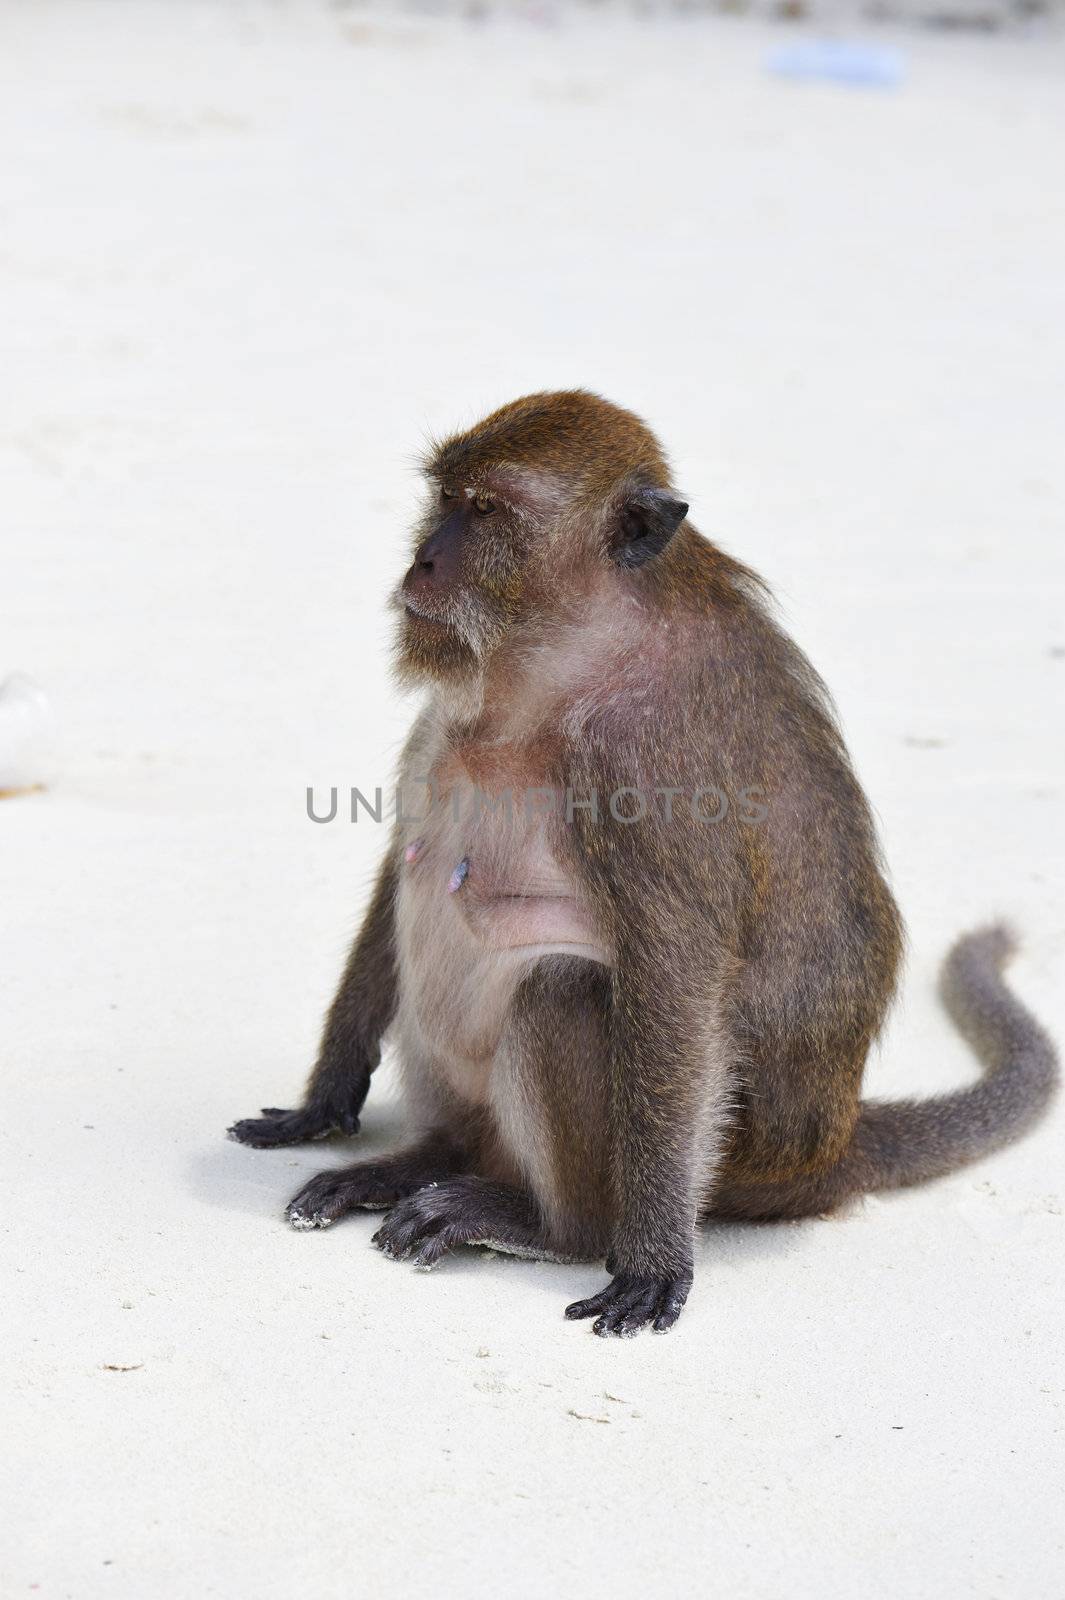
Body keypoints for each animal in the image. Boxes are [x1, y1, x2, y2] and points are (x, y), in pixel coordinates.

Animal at [228, 390, 1049, 1337]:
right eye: (444, 500)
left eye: (487, 512)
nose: (424, 559)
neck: (566, 659)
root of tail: (828, 1146)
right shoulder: (451, 708)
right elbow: (402, 862)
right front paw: (325, 1103)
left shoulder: (646, 761)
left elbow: (677, 981)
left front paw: (653, 1260)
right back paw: (420, 1159)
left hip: (722, 1162)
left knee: (565, 992)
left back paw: (552, 1227)